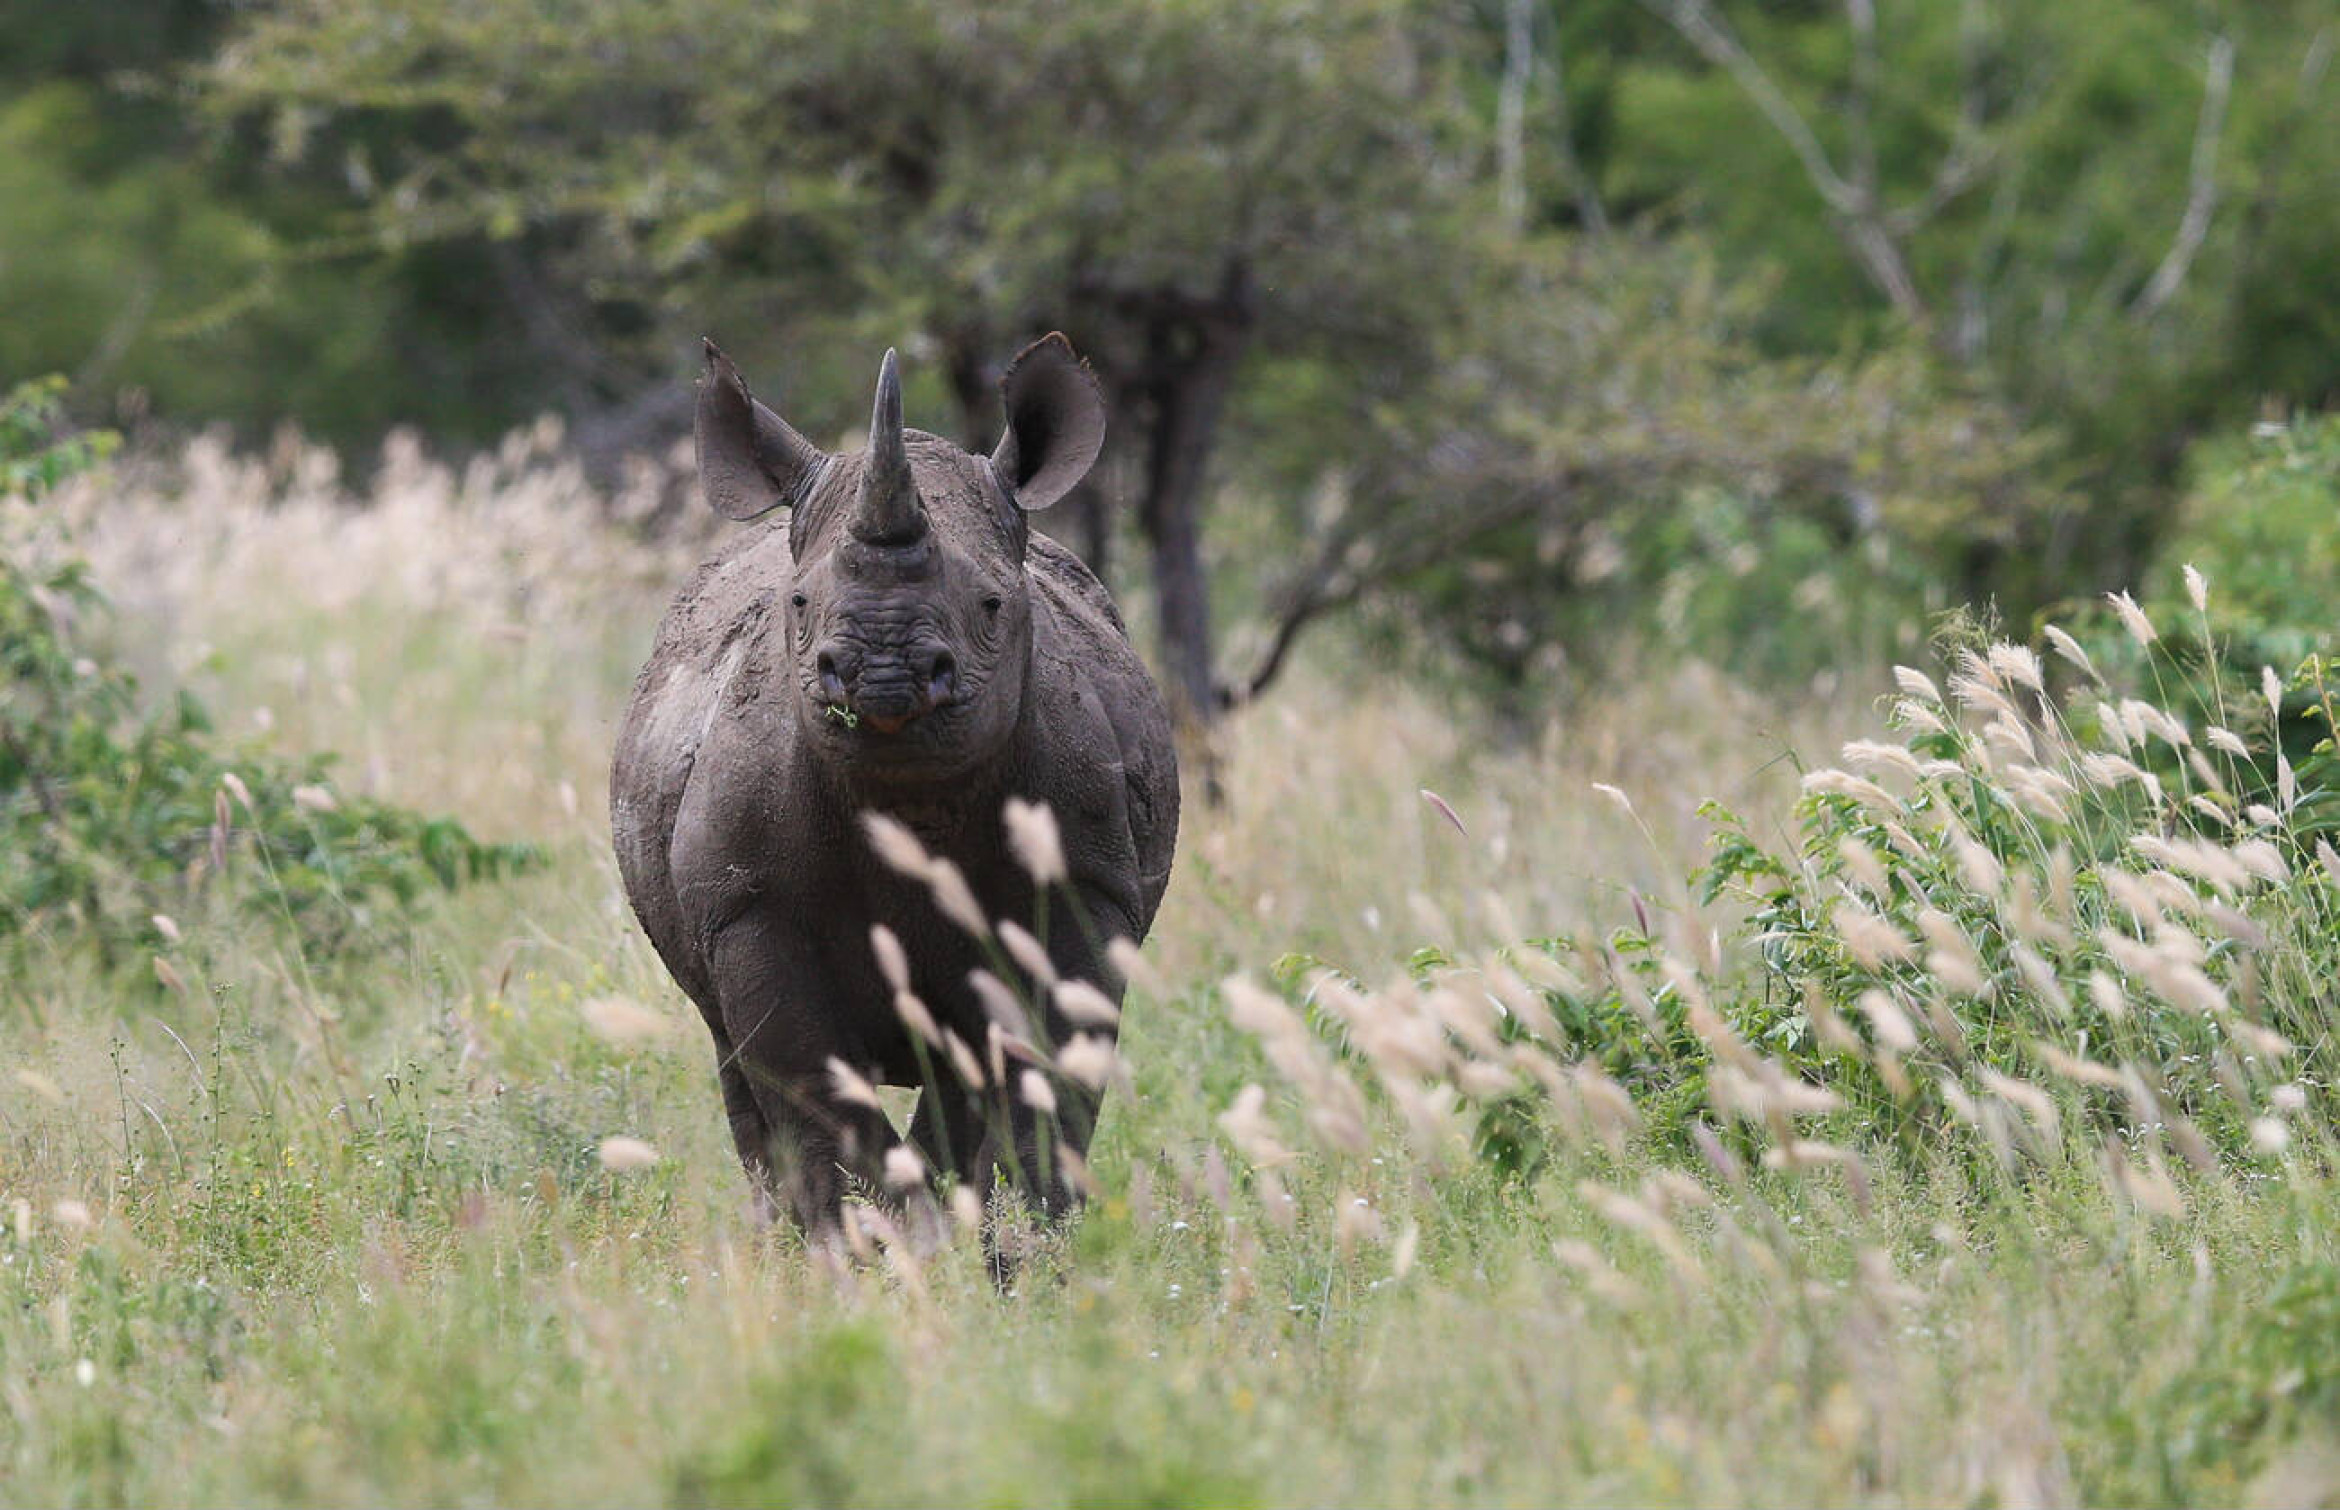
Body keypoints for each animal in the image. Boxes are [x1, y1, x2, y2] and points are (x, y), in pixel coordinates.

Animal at [611, 334, 1179, 1239]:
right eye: (797, 601)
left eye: (992, 603)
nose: (882, 670)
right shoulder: (747, 907)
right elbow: (811, 1089)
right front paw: (869, 1238)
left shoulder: (1085, 884)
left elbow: (1045, 1077)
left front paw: (1015, 1246)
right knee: (739, 1066)